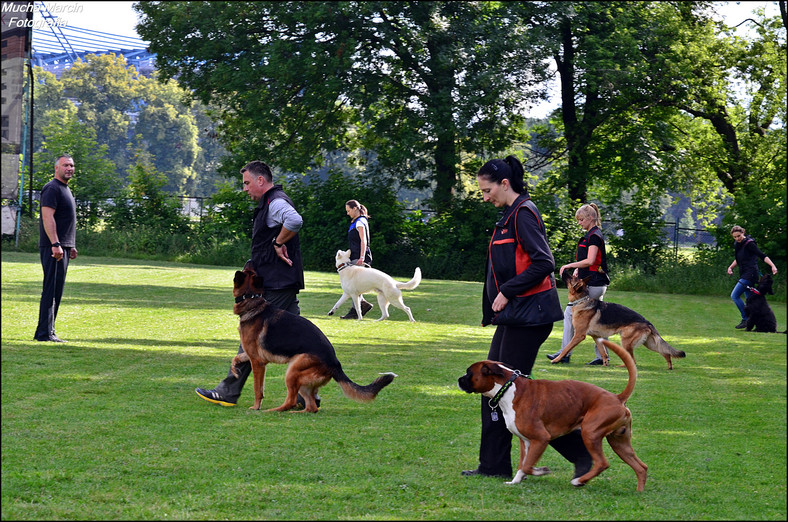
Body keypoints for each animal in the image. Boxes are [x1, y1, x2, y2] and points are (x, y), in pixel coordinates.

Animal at [231, 268, 398, 410]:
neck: (252, 301)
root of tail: (336, 363)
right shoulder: (251, 355)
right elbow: (235, 358)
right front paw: (235, 371)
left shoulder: (257, 362)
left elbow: (257, 389)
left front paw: (256, 407)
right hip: (302, 382)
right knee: (311, 407)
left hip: (292, 371)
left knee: (291, 401)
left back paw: (273, 410)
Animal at [456, 340, 648, 490]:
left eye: (469, 373)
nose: (459, 379)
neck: (508, 388)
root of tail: (617, 397)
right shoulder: (526, 441)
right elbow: (522, 464)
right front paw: (516, 481)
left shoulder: (541, 438)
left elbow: (528, 465)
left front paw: (540, 471)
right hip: (619, 443)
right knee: (641, 467)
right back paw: (639, 492)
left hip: (590, 433)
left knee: (602, 463)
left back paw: (579, 481)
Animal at [552, 270, 688, 368]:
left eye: (571, 278)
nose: (563, 270)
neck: (582, 301)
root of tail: (647, 322)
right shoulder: (597, 337)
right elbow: (603, 352)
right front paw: (605, 364)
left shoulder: (579, 335)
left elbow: (566, 348)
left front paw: (556, 360)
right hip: (649, 343)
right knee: (665, 352)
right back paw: (669, 366)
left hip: (626, 342)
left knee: (633, 360)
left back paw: (623, 366)